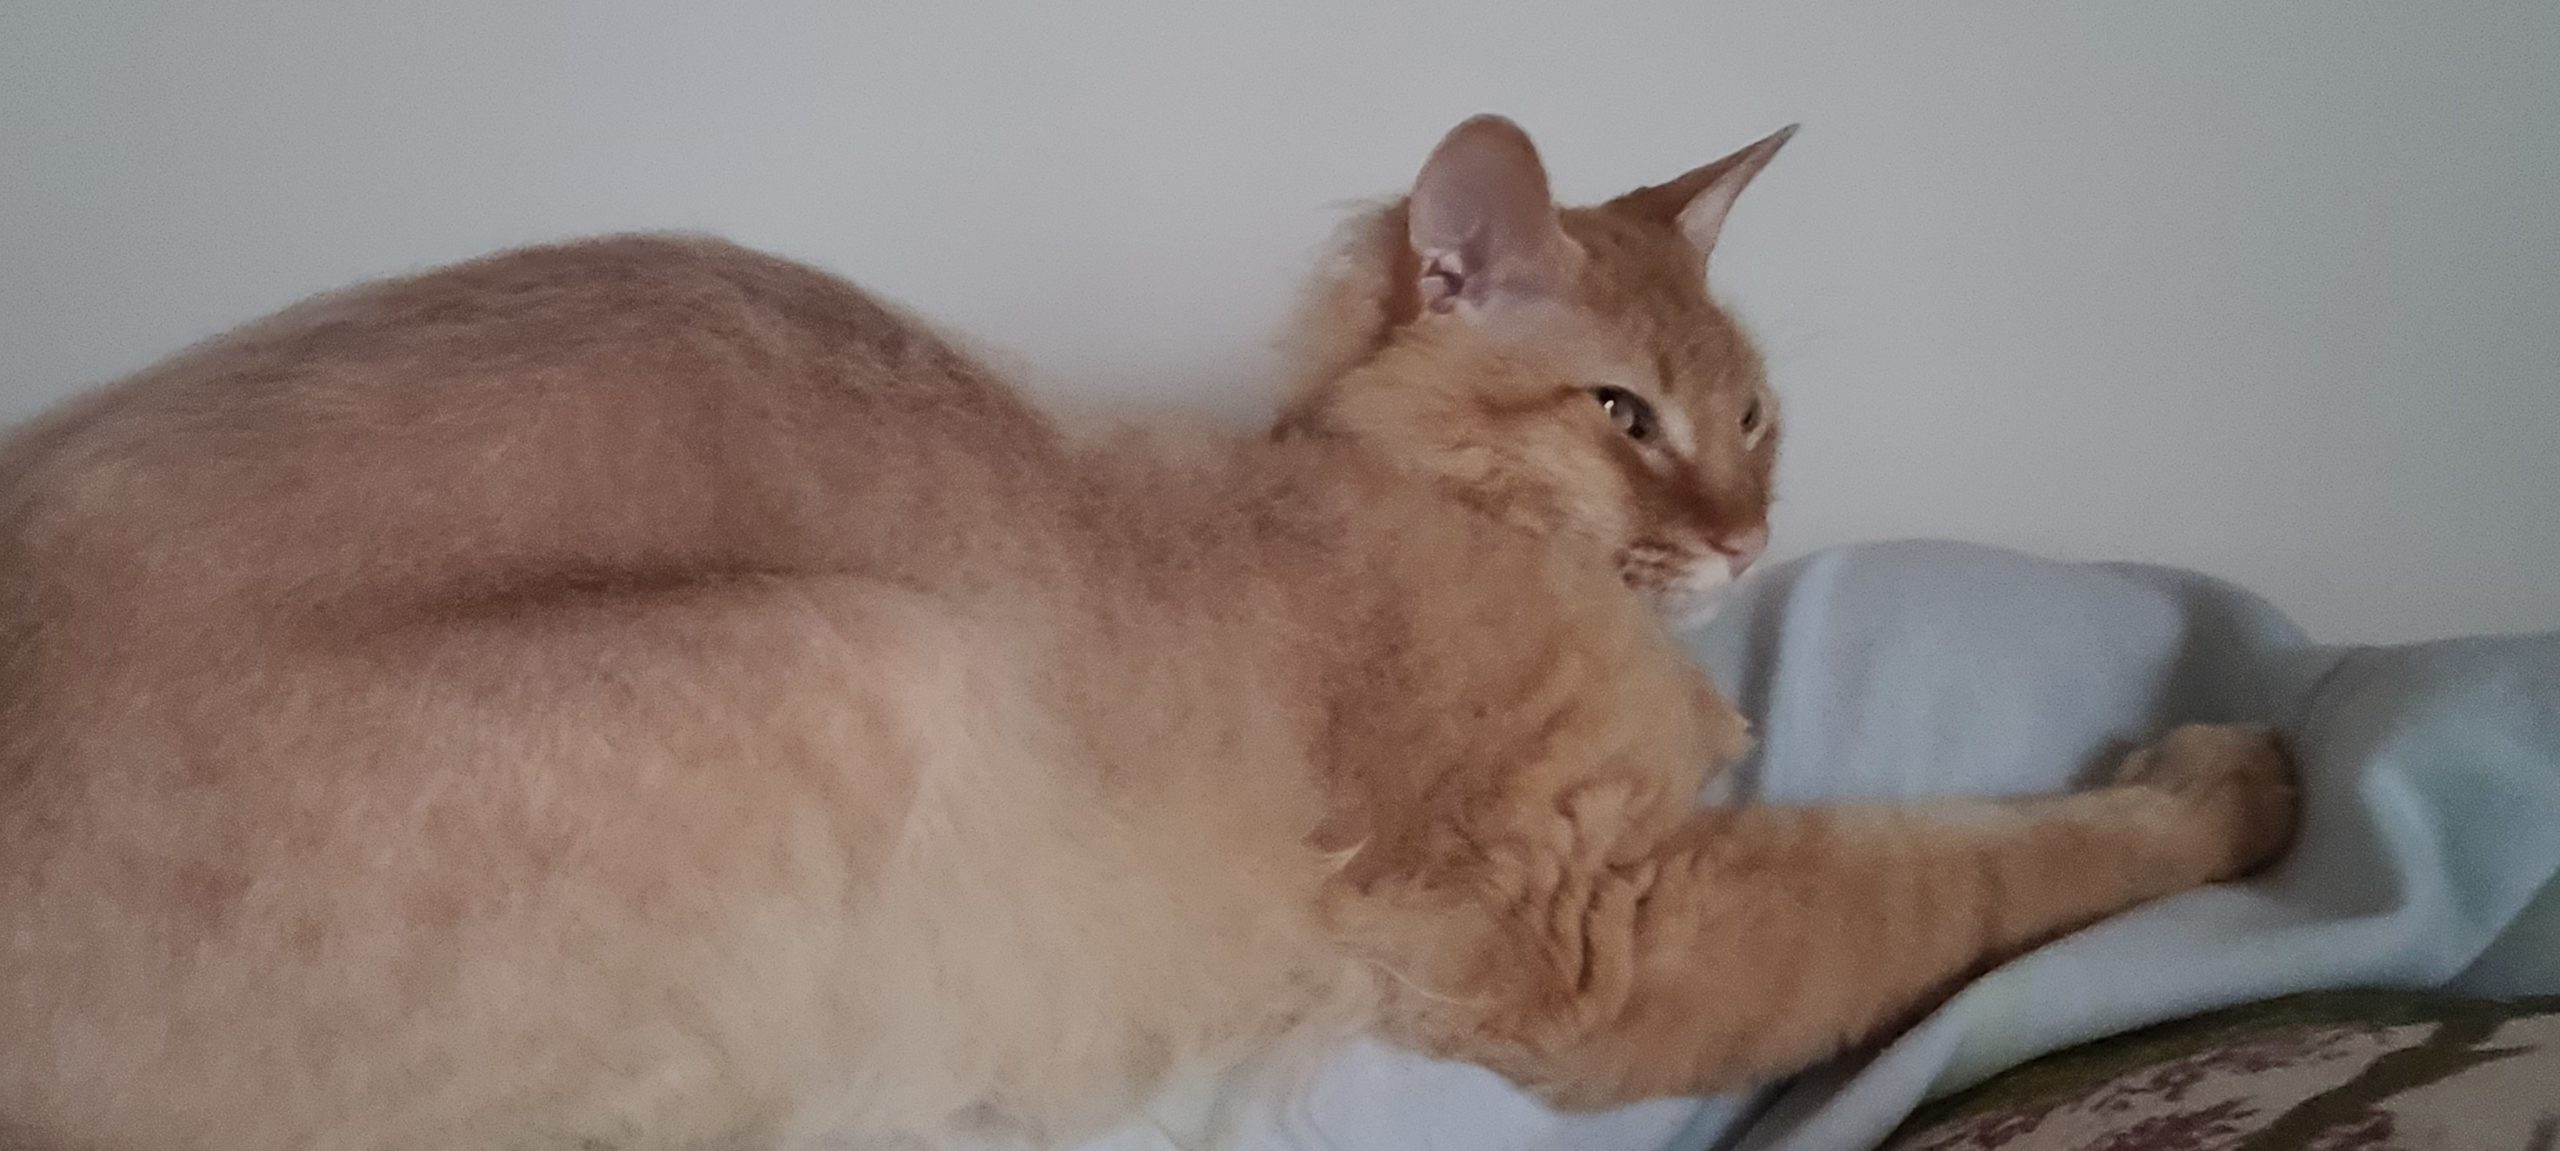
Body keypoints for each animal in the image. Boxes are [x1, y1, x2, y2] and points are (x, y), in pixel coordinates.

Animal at [0, 117, 2293, 1151]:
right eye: (1622, 416)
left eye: (1752, 423)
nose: (1740, 531)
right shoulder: (1598, 933)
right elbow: (1974, 861)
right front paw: (2225, 778)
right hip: (860, 660)